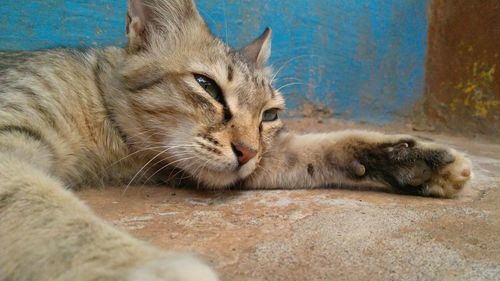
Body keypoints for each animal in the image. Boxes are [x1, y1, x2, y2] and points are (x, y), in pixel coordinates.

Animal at [0, 0, 472, 280]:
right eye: (207, 86)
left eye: (270, 115)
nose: (246, 152)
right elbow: (47, 209)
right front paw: (146, 267)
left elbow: (317, 146)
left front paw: (410, 157)